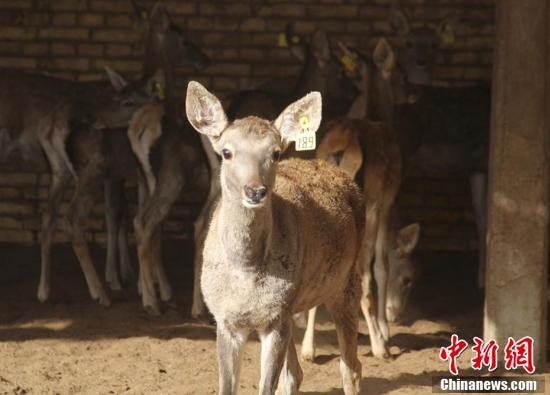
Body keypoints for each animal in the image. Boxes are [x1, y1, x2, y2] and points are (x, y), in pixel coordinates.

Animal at [187, 82, 366, 394]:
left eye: (276, 153)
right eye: (226, 152)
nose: (255, 191)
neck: (246, 269)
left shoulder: (275, 319)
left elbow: (266, 386)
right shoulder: (226, 319)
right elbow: (229, 387)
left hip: (346, 282)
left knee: (351, 367)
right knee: (295, 374)